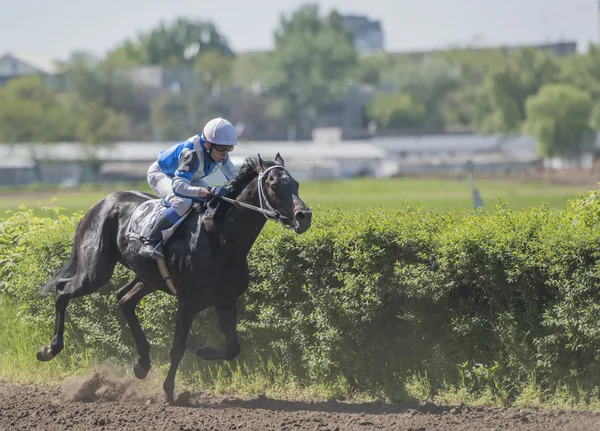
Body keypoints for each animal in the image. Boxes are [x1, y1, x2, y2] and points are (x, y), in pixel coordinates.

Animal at [36, 154, 314, 404]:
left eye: (296, 184)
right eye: (274, 184)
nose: (304, 216)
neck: (220, 239)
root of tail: (100, 204)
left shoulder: (225, 300)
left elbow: (233, 348)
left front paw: (203, 350)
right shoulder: (187, 303)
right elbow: (178, 347)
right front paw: (169, 392)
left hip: (147, 277)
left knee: (124, 299)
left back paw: (142, 363)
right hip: (95, 272)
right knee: (63, 291)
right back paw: (50, 349)